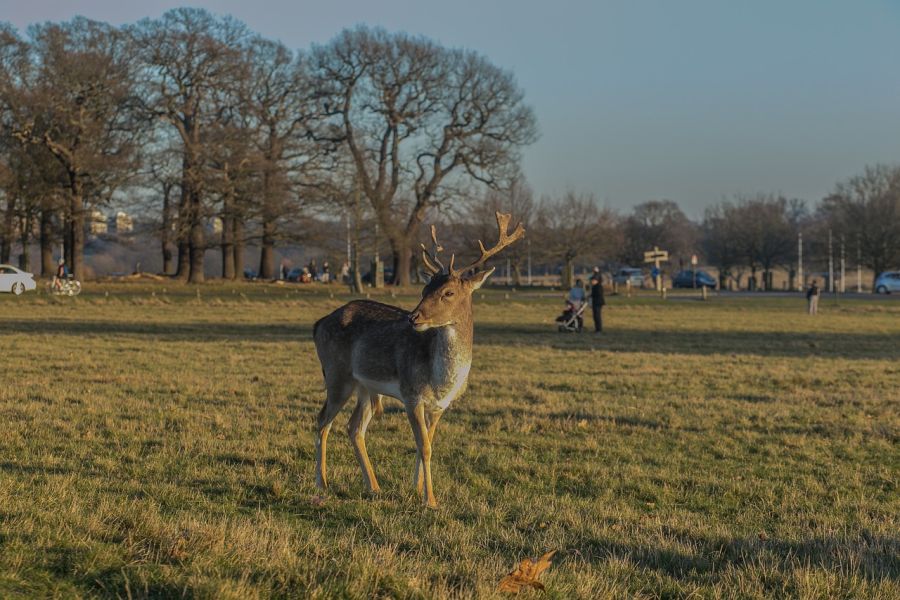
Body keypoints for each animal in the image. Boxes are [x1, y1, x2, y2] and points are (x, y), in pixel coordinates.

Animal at [312, 211, 524, 506]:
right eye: (424, 289)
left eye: (448, 292)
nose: (414, 317)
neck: (440, 381)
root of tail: (318, 324)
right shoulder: (411, 395)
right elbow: (424, 446)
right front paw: (430, 500)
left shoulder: (439, 406)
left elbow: (428, 443)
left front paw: (416, 488)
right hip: (336, 375)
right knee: (322, 422)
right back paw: (322, 484)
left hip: (365, 386)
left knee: (354, 428)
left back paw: (374, 486)